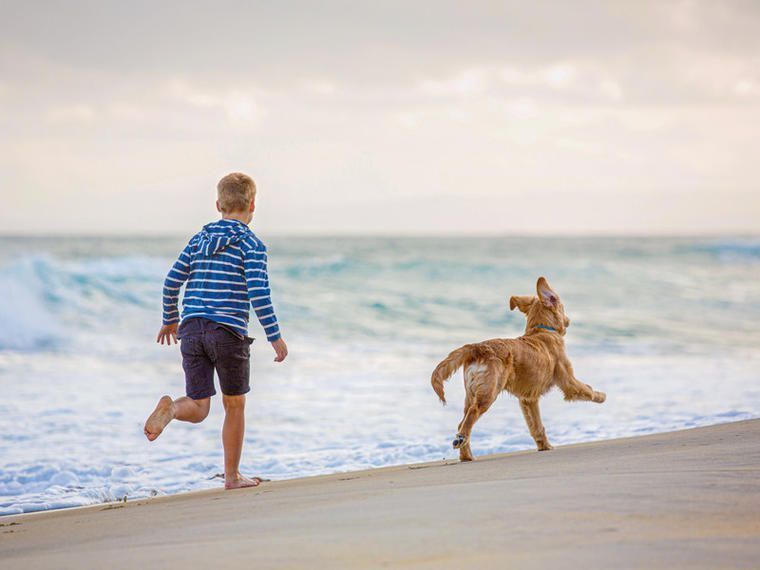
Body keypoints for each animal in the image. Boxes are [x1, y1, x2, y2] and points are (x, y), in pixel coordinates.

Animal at [434, 278, 604, 460]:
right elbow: (587, 390)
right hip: (489, 391)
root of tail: (476, 347)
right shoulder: (568, 381)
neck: (541, 329)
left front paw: (544, 446)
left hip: (471, 392)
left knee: (461, 421)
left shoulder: (528, 399)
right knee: (473, 413)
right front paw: (602, 396)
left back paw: (466, 455)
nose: (568, 320)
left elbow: (536, 426)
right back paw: (461, 439)